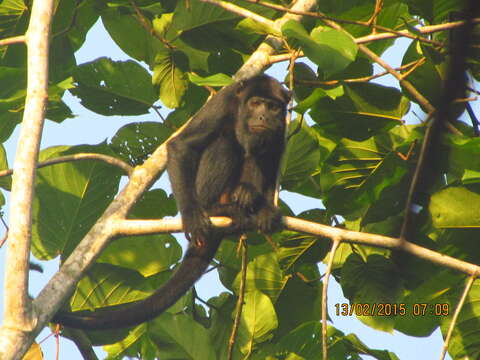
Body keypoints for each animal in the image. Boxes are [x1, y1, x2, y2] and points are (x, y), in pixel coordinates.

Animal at [52, 74, 288, 330]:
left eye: (273, 107)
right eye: (256, 103)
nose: (263, 117)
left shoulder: (282, 125)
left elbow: (274, 157)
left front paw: (267, 210)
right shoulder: (224, 101)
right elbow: (182, 146)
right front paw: (191, 217)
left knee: (260, 152)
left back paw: (246, 197)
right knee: (225, 142)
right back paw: (216, 208)